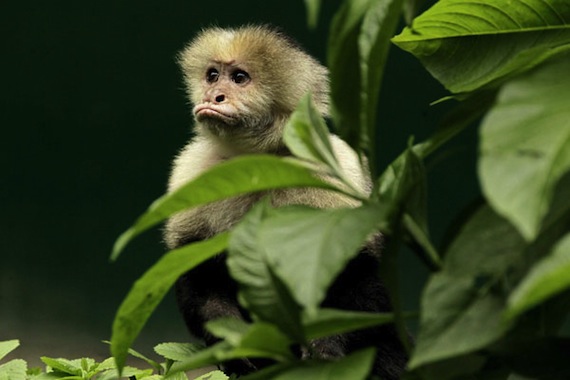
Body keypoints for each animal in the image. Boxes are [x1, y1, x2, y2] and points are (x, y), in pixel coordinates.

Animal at [162, 25, 406, 378]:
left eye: (239, 78)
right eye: (212, 75)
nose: (213, 96)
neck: (258, 165)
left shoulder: (336, 169)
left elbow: (357, 276)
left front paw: (326, 345)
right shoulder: (192, 172)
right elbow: (198, 270)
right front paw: (234, 340)